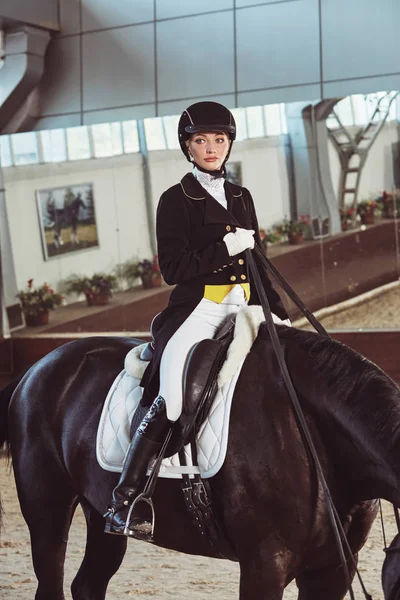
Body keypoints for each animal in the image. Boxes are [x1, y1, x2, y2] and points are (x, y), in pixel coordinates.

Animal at [0, 326, 400, 596]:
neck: (313, 432)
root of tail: (34, 370)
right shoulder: (265, 565)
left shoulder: (333, 568)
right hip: (48, 515)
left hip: (99, 514)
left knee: (87, 584)